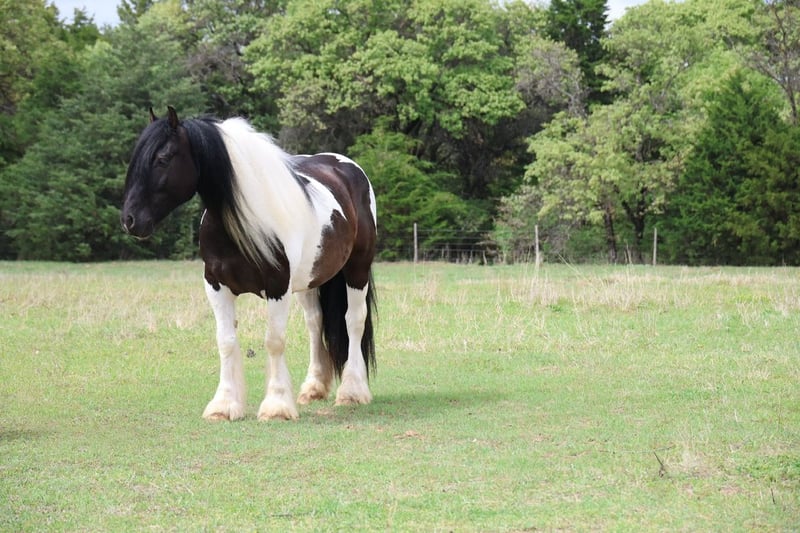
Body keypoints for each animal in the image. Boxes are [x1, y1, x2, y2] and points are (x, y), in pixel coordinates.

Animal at [121, 106, 377, 421]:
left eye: (162, 159)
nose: (130, 220)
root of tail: (345, 166)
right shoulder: (216, 286)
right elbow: (226, 341)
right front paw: (224, 404)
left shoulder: (278, 287)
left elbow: (274, 341)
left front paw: (277, 406)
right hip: (310, 279)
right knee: (315, 323)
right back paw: (313, 388)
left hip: (357, 268)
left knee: (353, 320)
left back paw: (352, 390)